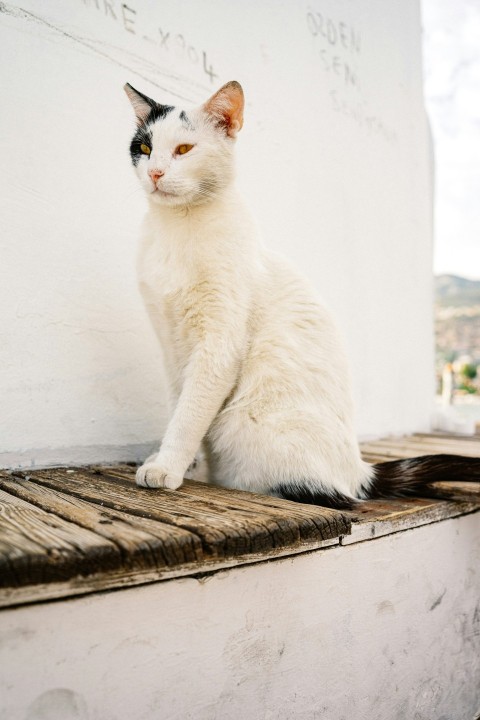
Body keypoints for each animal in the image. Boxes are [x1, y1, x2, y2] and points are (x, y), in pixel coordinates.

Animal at [124, 81, 480, 510]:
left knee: (329, 495)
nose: (155, 172)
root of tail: (359, 470)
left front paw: (167, 467)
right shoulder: (171, 344)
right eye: (145, 148)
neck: (176, 228)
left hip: (249, 425)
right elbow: (180, 403)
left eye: (184, 149)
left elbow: (191, 412)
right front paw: (179, 463)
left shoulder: (218, 345)